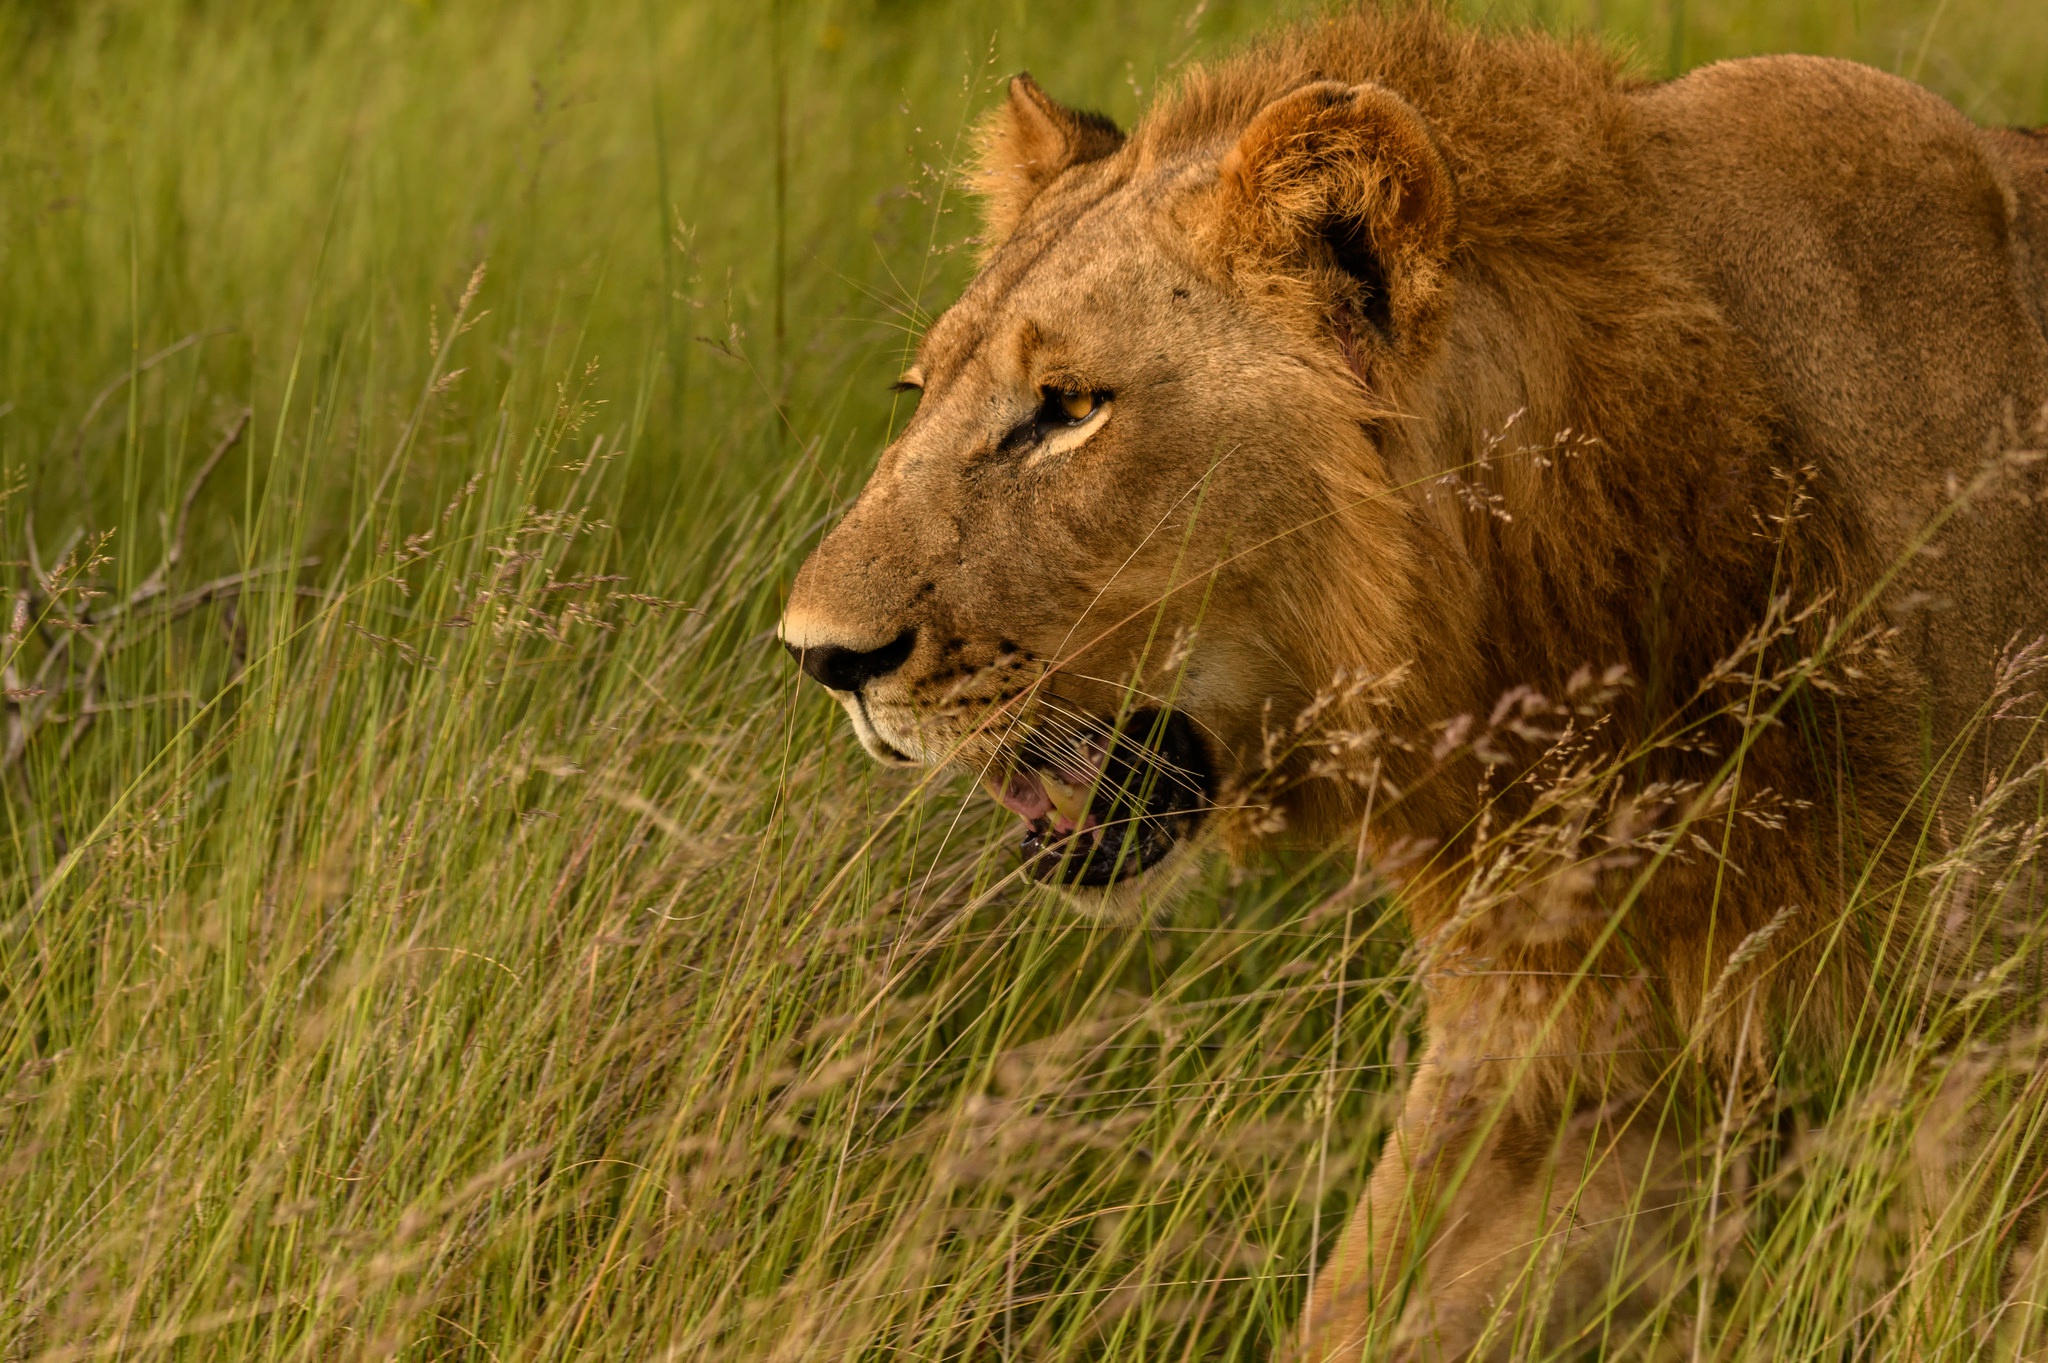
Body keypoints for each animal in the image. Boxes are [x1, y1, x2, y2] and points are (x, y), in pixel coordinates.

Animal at [770, 7, 2048, 1350]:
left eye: (1068, 408)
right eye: (918, 396)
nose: (816, 656)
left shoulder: (1991, 1061)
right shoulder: (1556, 1056)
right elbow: (1366, 1305)